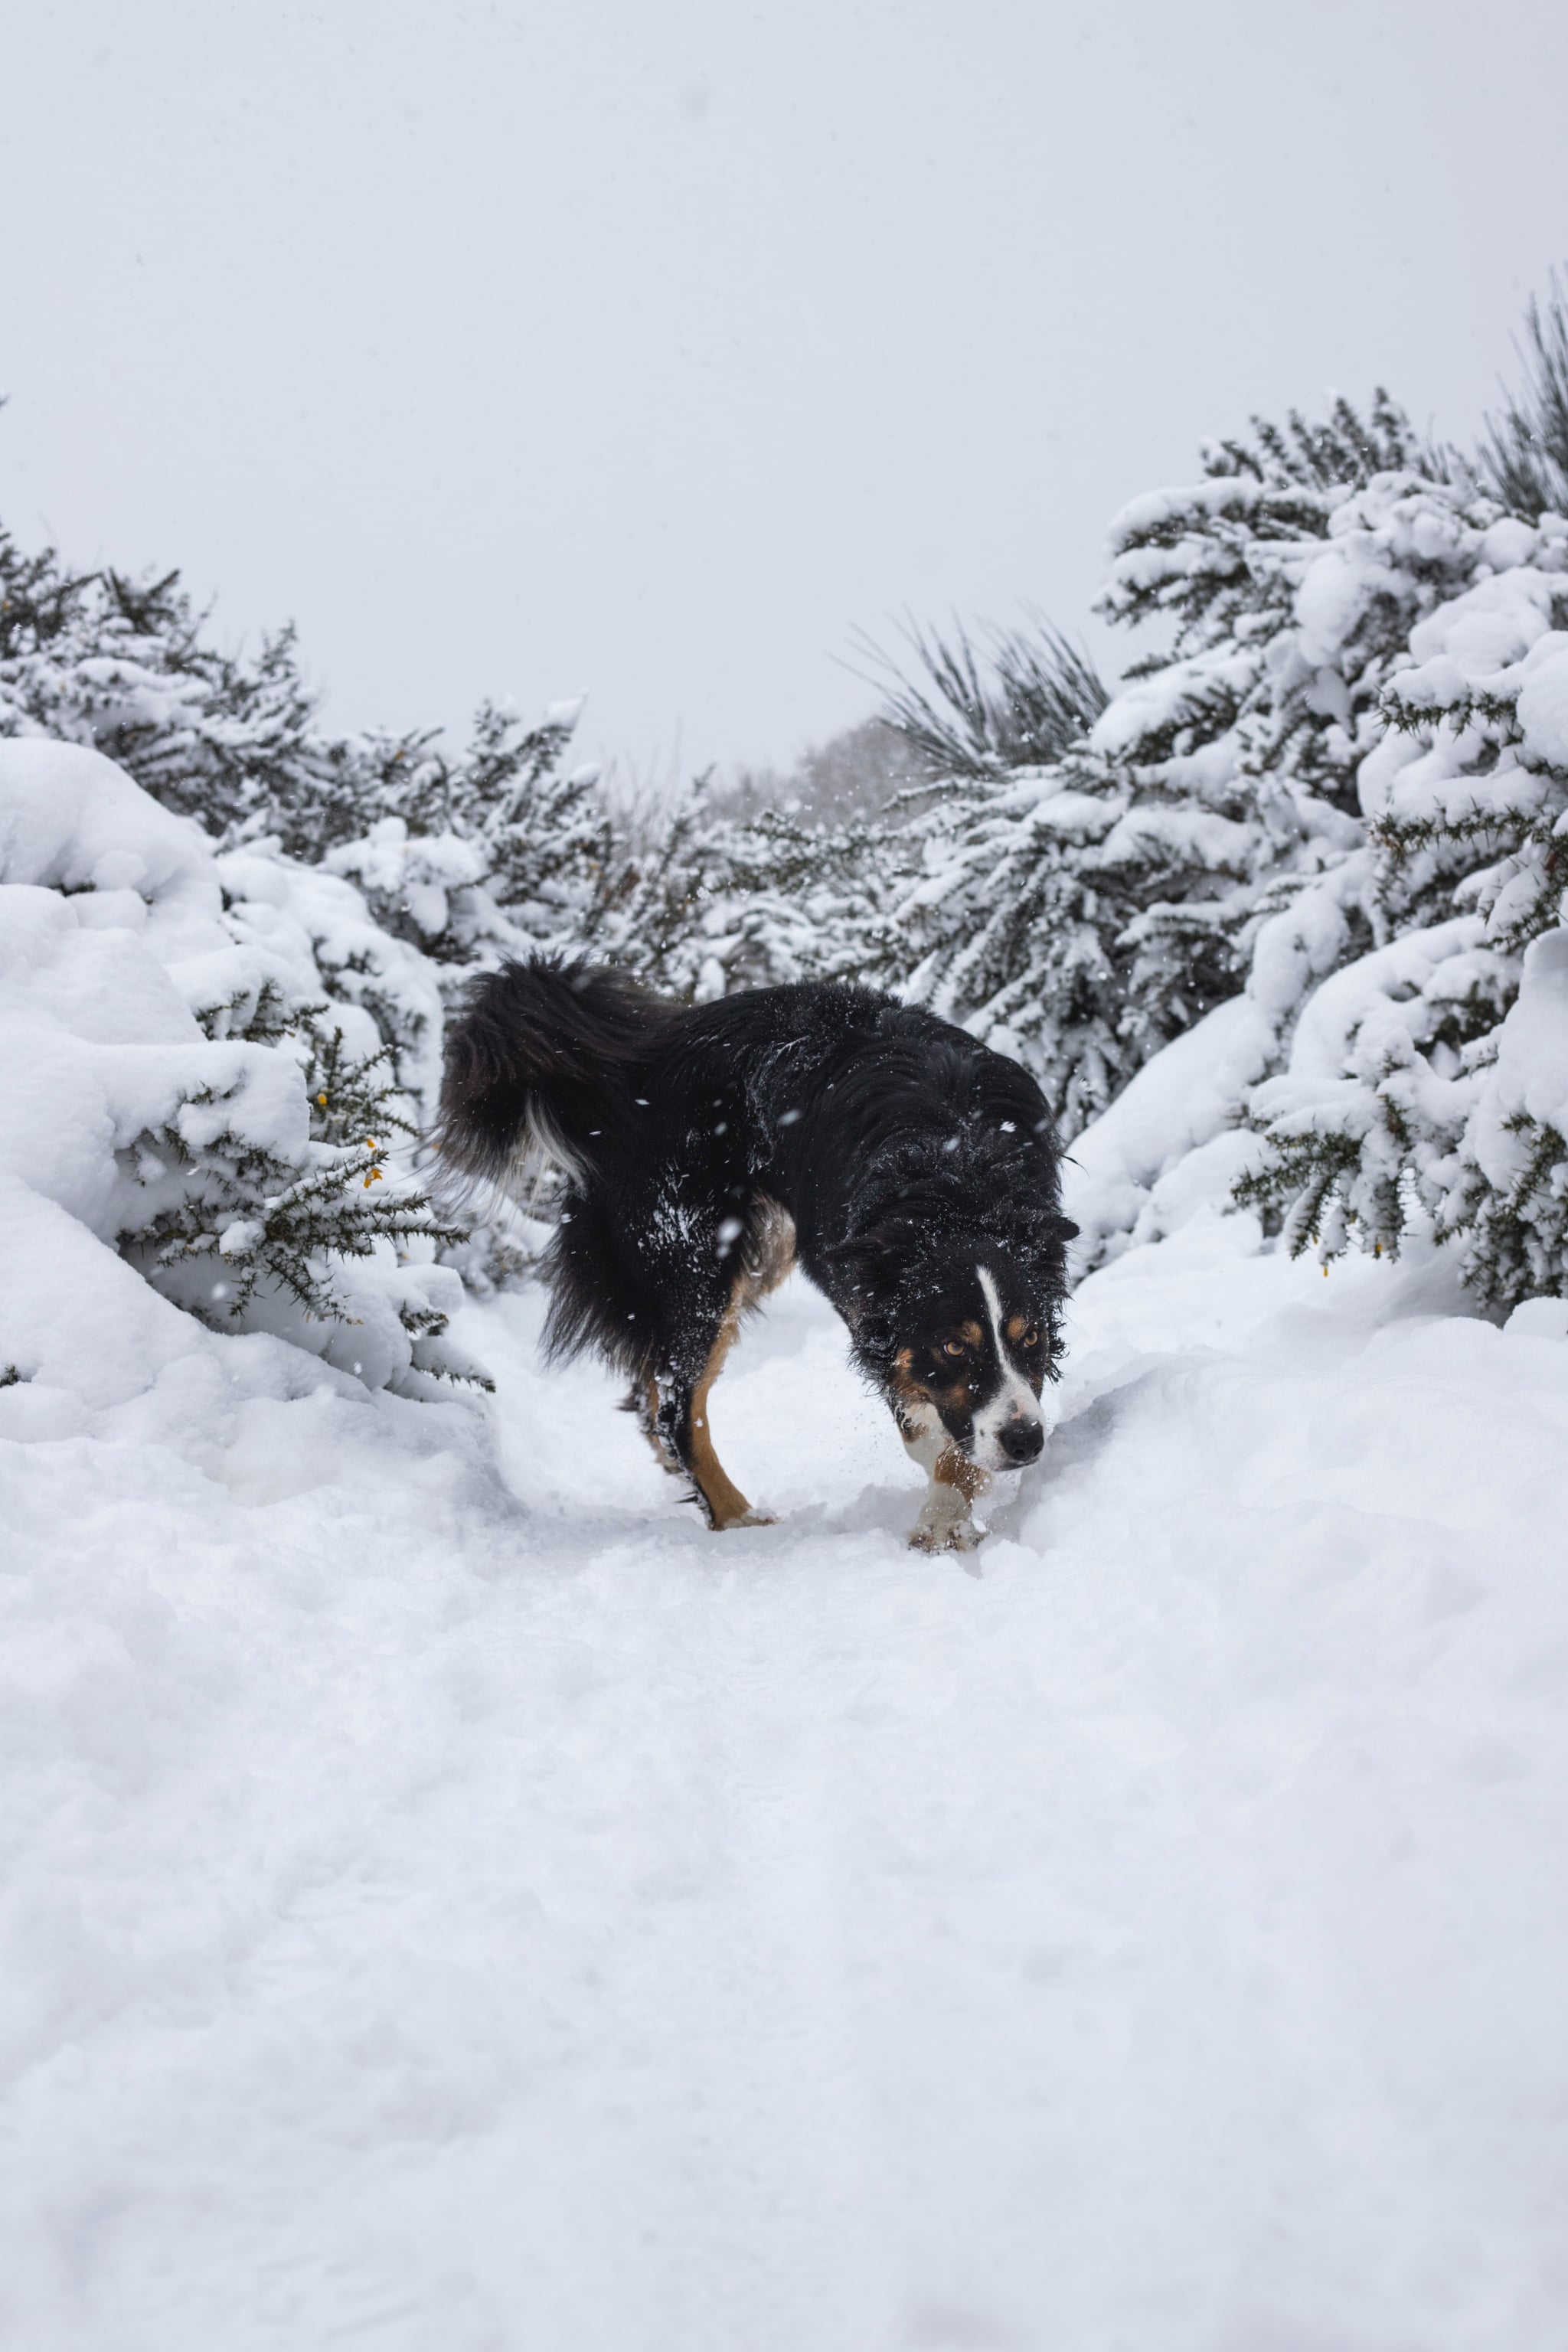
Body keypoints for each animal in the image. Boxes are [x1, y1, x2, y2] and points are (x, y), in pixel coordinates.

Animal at [439, 950, 1081, 1543]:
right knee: (677, 1407)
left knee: (652, 1392)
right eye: (952, 1346)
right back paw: (737, 1518)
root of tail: (626, 1071)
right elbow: (928, 1418)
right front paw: (946, 1516)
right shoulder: (870, 1300)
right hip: (693, 1259)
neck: (954, 1177)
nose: (1026, 1441)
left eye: (1031, 1337)